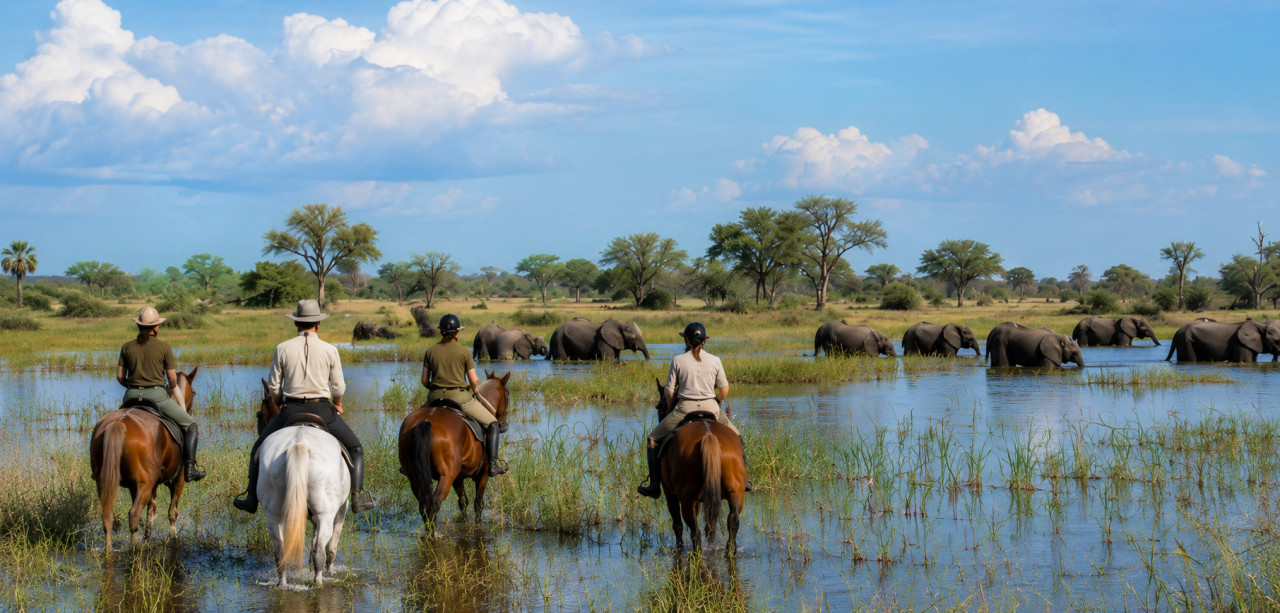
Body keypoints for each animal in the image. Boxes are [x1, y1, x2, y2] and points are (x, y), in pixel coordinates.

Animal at [89, 368, 199, 551]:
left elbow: (151, 511)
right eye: (195, 393)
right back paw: (135, 547)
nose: (189, 411)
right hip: (144, 485)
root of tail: (118, 423)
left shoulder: (147, 485)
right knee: (133, 514)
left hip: (105, 482)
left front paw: (148, 536)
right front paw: (172, 538)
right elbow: (172, 512)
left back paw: (110, 549)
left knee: (107, 515)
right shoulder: (179, 480)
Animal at [254, 379, 349, 587]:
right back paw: (319, 582)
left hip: (273, 513)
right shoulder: (341, 509)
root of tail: (299, 444)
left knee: (280, 551)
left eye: (260, 415)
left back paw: (282, 584)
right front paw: (331, 571)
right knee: (320, 551)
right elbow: (331, 547)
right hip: (326, 514)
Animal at [398, 371, 511, 534]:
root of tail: (426, 421)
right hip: (446, 476)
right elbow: (478, 503)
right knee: (434, 504)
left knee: (423, 505)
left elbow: (463, 502)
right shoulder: (483, 474)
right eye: (507, 394)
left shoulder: (458, 477)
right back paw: (433, 534)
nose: (503, 424)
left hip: (414, 476)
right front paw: (478, 524)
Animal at [650, 379, 746, 553]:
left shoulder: (670, 493)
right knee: (732, 522)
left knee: (694, 531)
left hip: (686, 498)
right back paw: (730, 551)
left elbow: (677, 524)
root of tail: (708, 435)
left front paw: (679, 548)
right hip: (736, 493)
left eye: (659, 406)